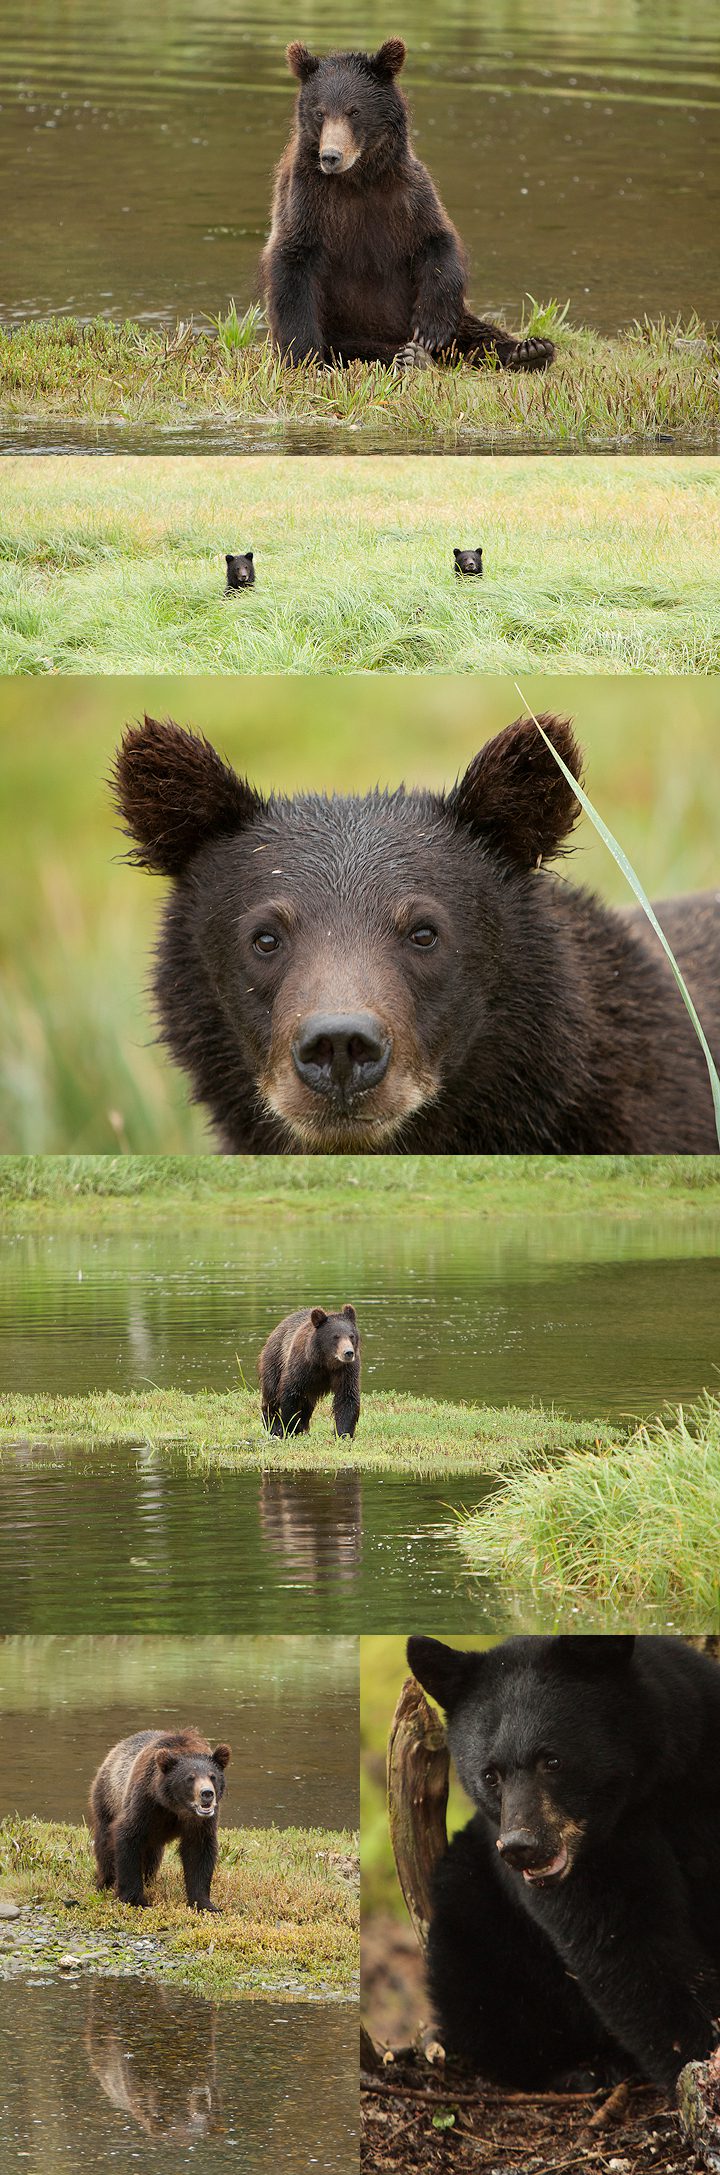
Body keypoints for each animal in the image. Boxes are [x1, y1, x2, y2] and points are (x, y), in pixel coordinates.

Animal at [89, 1727, 231, 1912]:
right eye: (190, 1777)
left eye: (213, 1776)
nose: (207, 1793)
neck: (175, 1807)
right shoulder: (145, 1804)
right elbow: (128, 1838)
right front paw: (135, 1900)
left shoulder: (200, 1822)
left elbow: (199, 1852)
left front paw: (205, 1904)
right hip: (107, 1799)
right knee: (105, 1845)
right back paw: (105, 1882)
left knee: (152, 1856)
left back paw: (149, 1880)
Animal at [258, 1304, 361, 1437]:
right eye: (335, 1336)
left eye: (351, 1336)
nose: (348, 1352)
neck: (326, 1362)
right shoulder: (302, 1367)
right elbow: (291, 1394)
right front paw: (289, 1428)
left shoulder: (346, 1370)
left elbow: (347, 1397)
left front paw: (343, 1433)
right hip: (274, 1359)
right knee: (271, 1394)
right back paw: (273, 1426)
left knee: (307, 1406)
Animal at [260, 40, 553, 375]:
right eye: (319, 112)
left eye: (354, 110)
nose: (331, 156)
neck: (357, 179)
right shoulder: (308, 201)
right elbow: (293, 262)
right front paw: (304, 357)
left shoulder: (406, 194)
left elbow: (437, 241)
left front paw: (431, 328)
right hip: (346, 335)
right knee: (364, 350)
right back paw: (411, 357)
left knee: (476, 332)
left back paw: (529, 350)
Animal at [405, 1634, 720, 2093]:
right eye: (490, 1775)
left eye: (551, 1760)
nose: (520, 1847)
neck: (646, 1790)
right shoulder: (600, 1857)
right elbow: (628, 1945)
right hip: (472, 1902)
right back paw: (579, 2069)